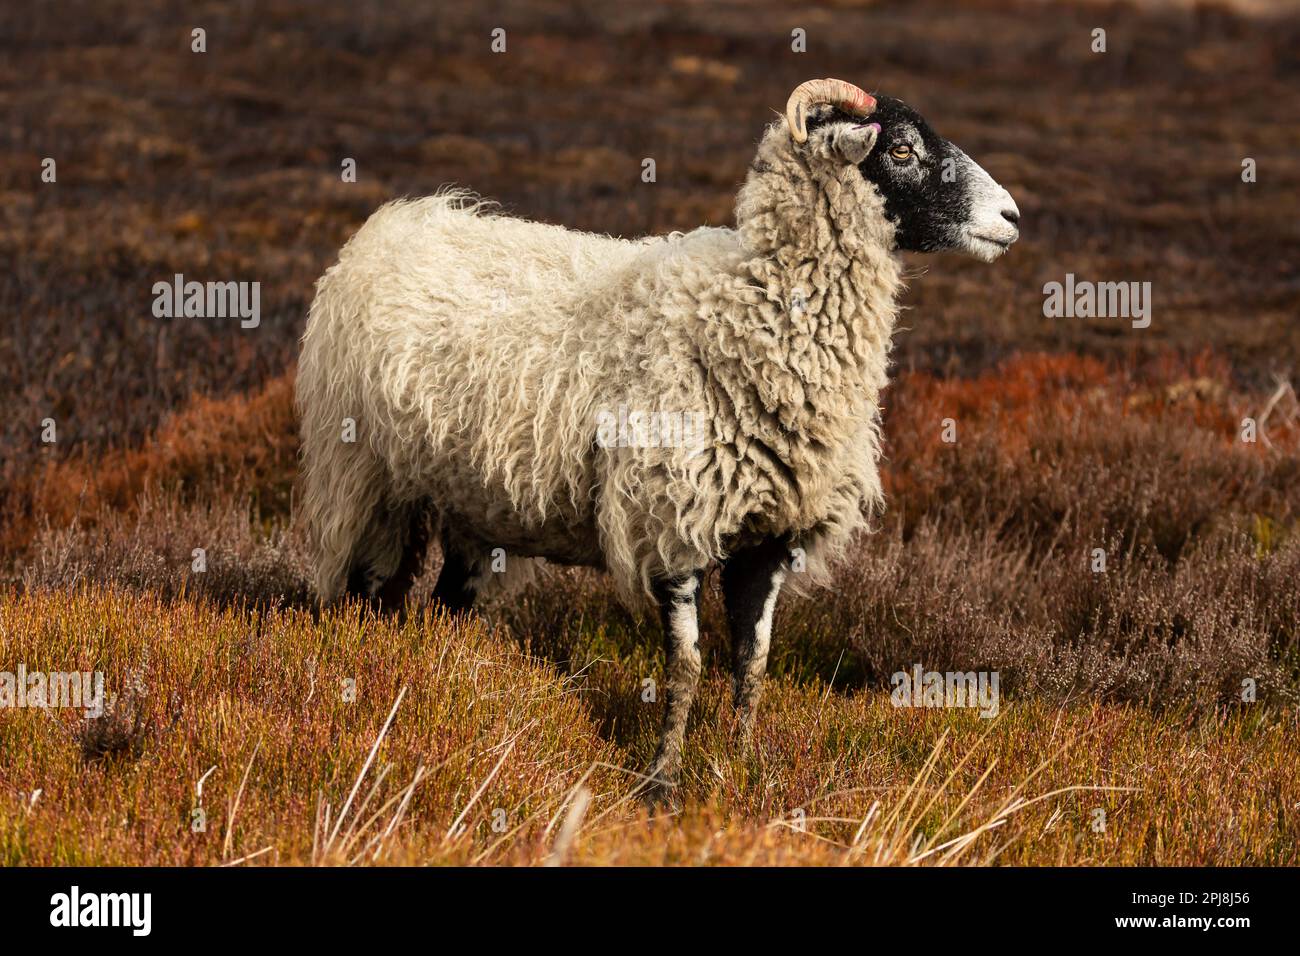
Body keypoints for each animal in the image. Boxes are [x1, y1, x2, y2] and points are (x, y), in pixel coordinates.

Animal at [299, 80, 1019, 801]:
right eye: (901, 150)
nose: (1012, 216)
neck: (749, 308)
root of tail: (393, 225)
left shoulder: (769, 538)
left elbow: (753, 664)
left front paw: (743, 770)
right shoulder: (671, 523)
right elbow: (688, 669)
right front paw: (662, 784)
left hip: (469, 504)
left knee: (447, 603)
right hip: (362, 478)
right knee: (360, 592)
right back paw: (363, 676)